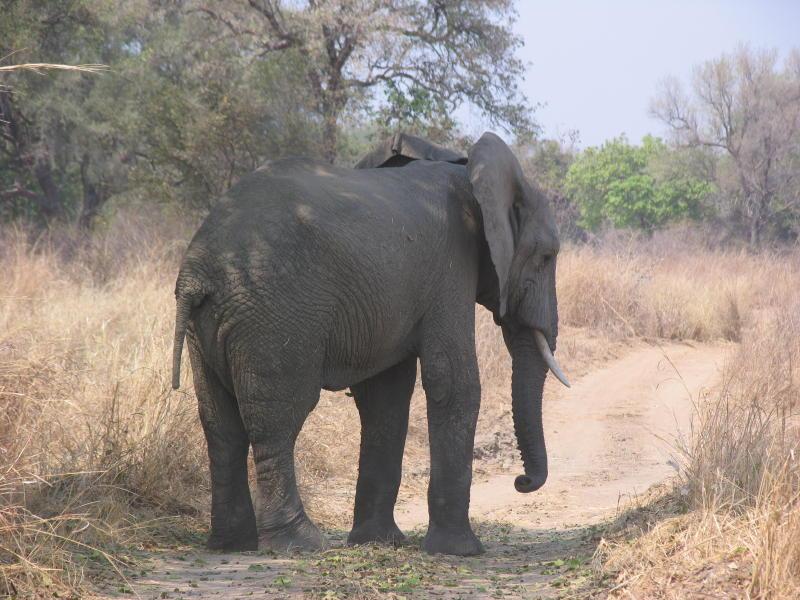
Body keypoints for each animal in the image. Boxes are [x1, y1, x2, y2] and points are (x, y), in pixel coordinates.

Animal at [170, 131, 568, 556]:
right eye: (547, 256)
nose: (522, 482)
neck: (466, 169)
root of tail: (198, 269)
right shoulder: (451, 267)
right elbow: (452, 381)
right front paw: (460, 551)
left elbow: (385, 396)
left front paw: (378, 541)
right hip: (272, 314)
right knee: (276, 420)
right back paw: (300, 543)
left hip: (207, 326)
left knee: (219, 424)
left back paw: (231, 545)